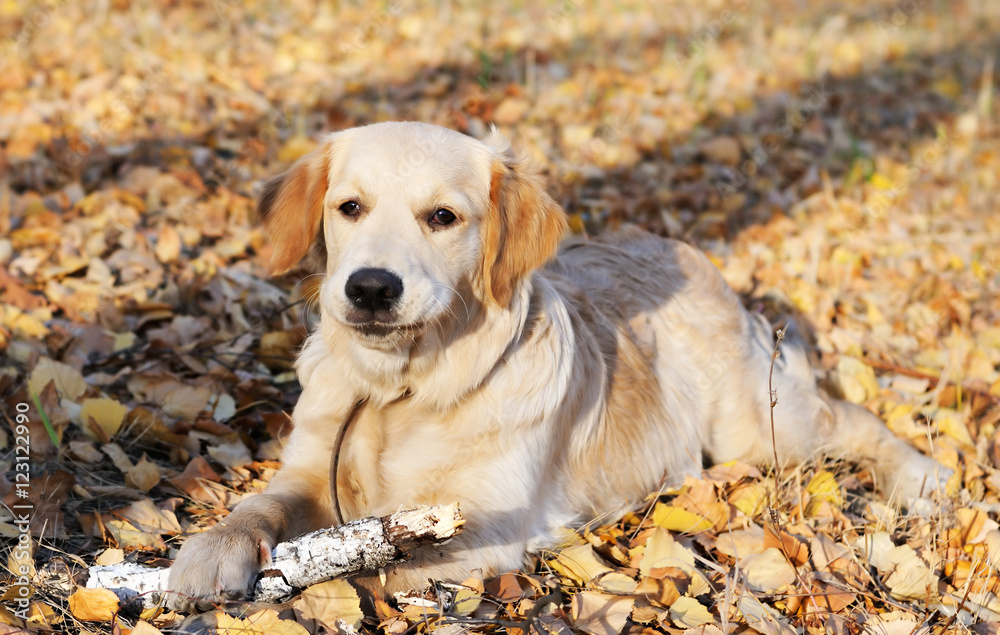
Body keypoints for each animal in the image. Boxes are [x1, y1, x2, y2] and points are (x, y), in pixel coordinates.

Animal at [168, 121, 948, 608]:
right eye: (349, 207)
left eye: (443, 217)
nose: (370, 288)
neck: (403, 390)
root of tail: (683, 247)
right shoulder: (309, 470)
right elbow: (260, 505)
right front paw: (210, 551)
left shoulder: (487, 522)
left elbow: (382, 568)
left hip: (758, 428)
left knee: (852, 420)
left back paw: (922, 476)